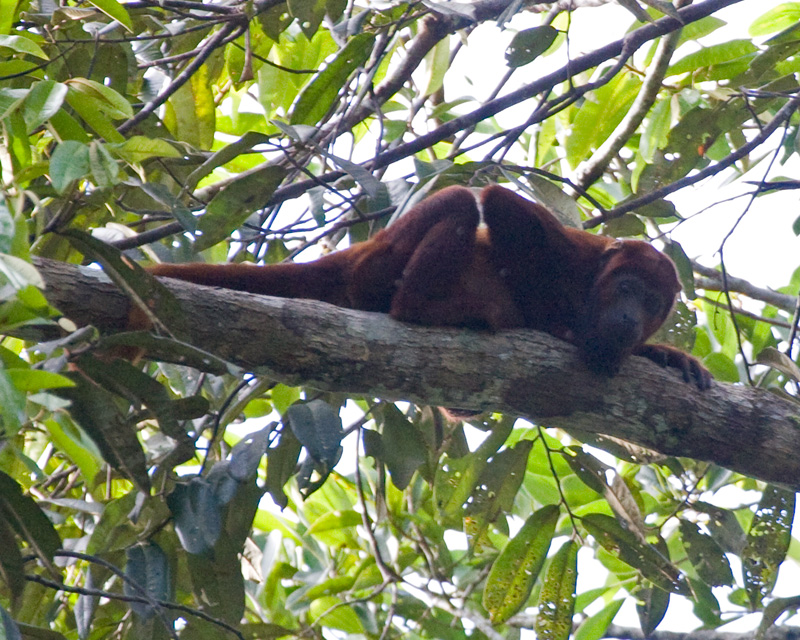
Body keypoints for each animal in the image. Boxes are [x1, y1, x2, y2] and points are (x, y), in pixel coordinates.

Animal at [148, 182, 712, 388]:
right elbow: (500, 205)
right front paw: (567, 330)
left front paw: (664, 354)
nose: (630, 318)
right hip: (379, 264)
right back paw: (423, 310)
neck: (592, 281)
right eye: (627, 289)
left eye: (653, 304)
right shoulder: (576, 253)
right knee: (462, 200)